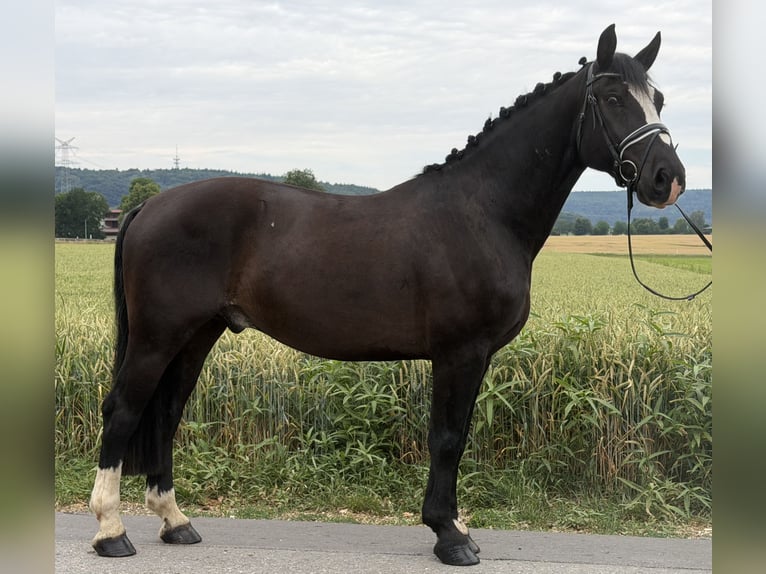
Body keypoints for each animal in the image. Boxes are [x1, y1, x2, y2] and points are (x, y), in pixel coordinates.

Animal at [88, 25, 685, 566]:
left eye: (656, 99)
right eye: (612, 98)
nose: (668, 177)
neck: (482, 211)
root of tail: (149, 205)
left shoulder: (475, 358)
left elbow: (457, 437)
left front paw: (455, 525)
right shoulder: (459, 353)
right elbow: (447, 438)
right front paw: (449, 535)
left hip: (195, 335)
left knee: (166, 412)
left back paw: (175, 522)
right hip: (157, 337)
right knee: (123, 409)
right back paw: (111, 529)